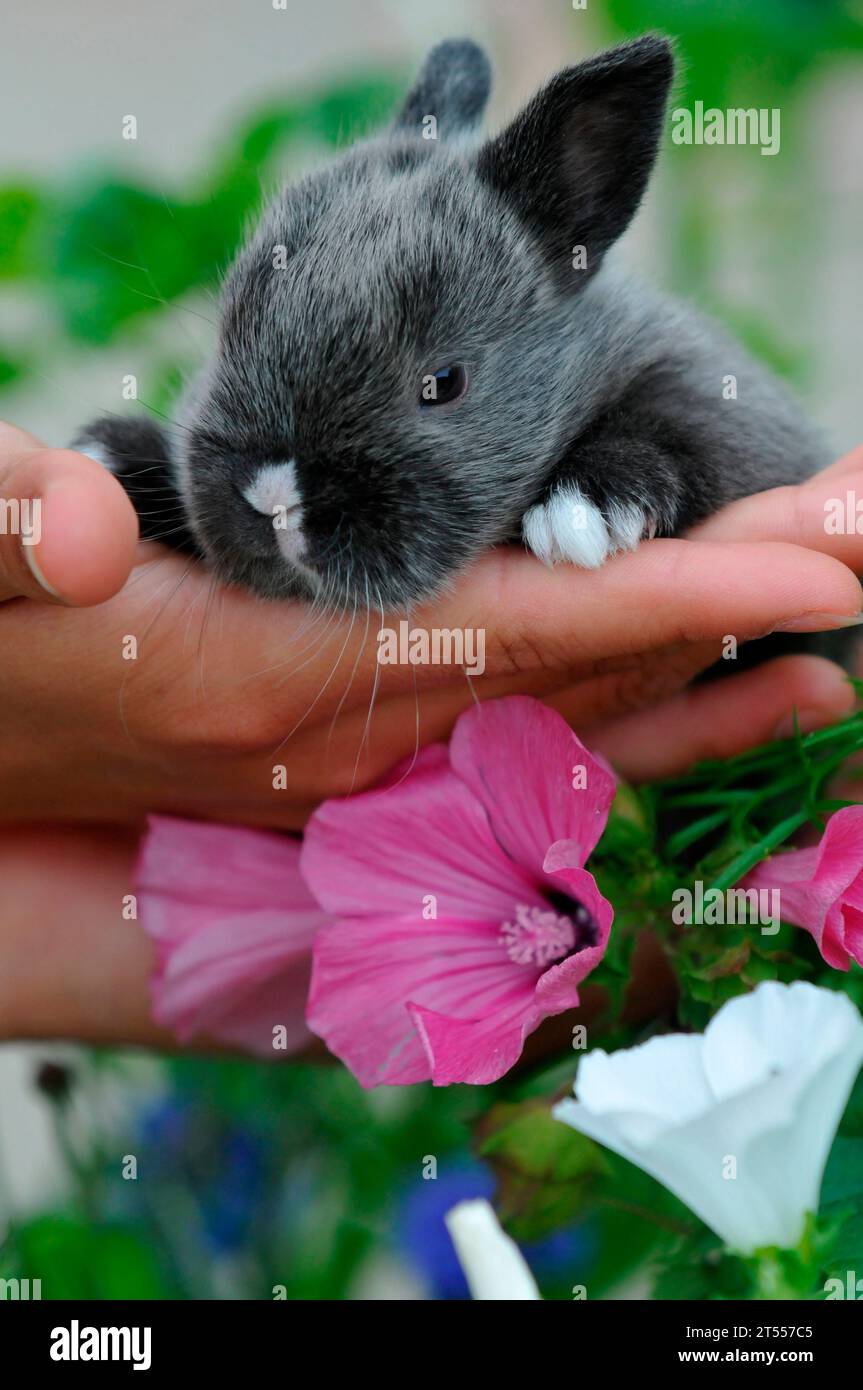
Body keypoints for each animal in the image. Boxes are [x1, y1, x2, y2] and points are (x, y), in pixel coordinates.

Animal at [74, 33, 831, 613]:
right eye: (228, 332)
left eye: (444, 382)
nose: (273, 499)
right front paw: (110, 454)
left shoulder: (725, 405)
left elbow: (682, 428)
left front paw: (582, 508)